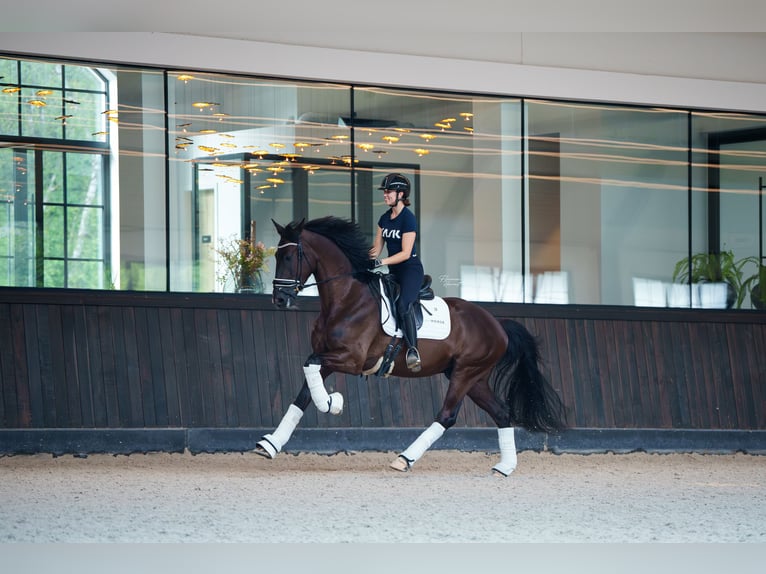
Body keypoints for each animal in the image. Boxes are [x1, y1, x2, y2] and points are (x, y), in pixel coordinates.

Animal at [260, 216, 568, 476]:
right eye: (276, 255)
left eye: (289, 256)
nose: (279, 299)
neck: (346, 299)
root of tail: (498, 325)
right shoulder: (329, 357)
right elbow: (303, 393)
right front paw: (270, 444)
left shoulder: (351, 359)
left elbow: (309, 368)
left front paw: (332, 403)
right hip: (474, 378)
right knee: (502, 413)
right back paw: (504, 467)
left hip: (465, 373)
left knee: (447, 416)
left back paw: (404, 459)